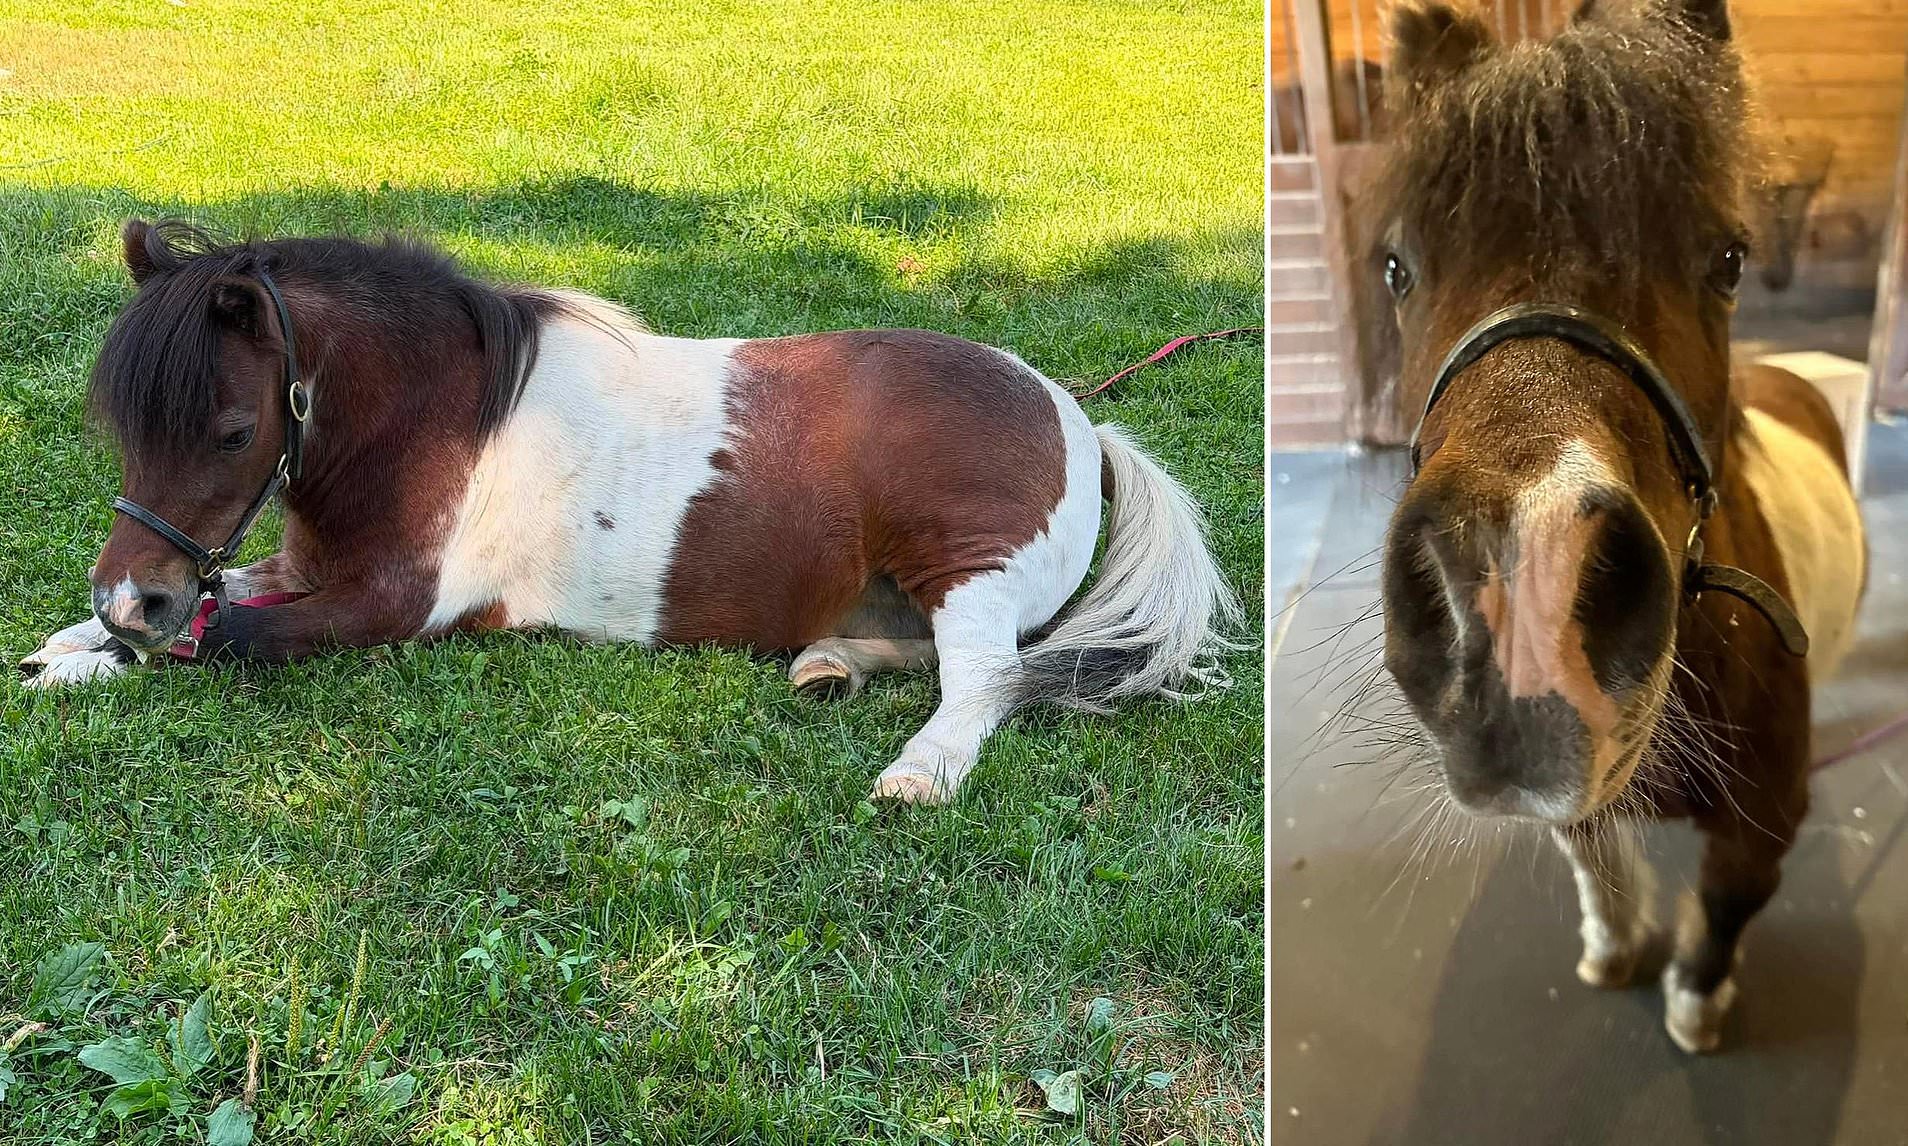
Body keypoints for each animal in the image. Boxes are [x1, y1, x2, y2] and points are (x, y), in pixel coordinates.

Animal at [20, 220, 1240, 805]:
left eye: (233, 430)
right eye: (122, 424)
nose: (129, 596)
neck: (438, 417)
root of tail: (1079, 423)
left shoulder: (385, 609)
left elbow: (223, 639)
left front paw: (95, 658)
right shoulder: (303, 571)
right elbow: (212, 610)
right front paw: (72, 648)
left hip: (965, 564)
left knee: (985, 677)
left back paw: (919, 774)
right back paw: (829, 664)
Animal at [1371, 0, 1864, 1052]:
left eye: (1728, 259)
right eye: (1396, 268)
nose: (1523, 588)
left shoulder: (1762, 828)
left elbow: (1725, 907)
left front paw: (1697, 1007)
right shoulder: (1583, 799)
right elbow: (1594, 860)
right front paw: (1613, 950)